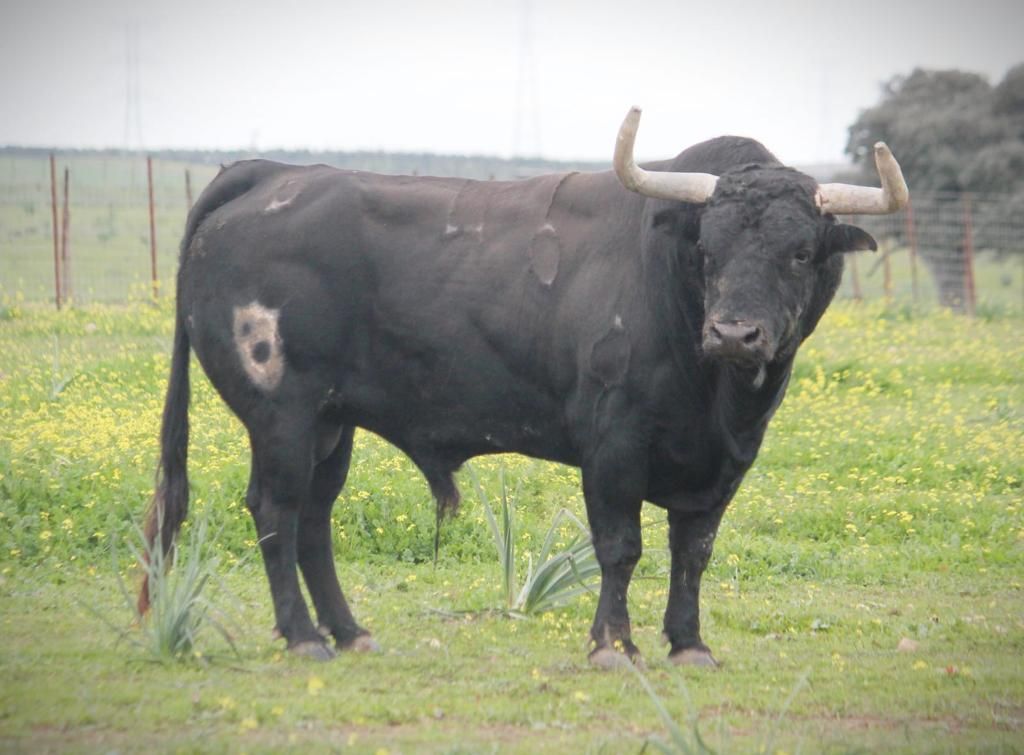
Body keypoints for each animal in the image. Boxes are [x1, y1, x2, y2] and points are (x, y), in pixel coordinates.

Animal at [140, 129, 892, 663]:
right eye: (707, 249)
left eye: (800, 252)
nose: (734, 333)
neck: (717, 401)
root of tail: (269, 172)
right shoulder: (613, 443)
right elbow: (620, 546)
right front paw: (612, 645)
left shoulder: (726, 462)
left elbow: (693, 551)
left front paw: (689, 644)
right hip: (282, 415)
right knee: (277, 509)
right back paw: (303, 637)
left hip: (331, 421)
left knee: (314, 518)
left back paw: (349, 631)